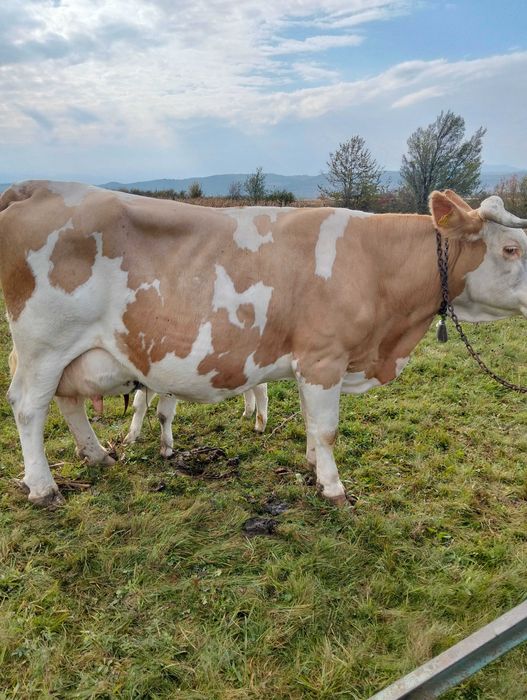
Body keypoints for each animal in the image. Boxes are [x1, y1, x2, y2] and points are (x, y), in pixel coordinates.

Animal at [1, 181, 526, 508]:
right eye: (510, 248)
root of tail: (38, 186)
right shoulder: (324, 357)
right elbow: (328, 429)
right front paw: (334, 488)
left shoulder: (309, 362)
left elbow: (312, 424)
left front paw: (313, 466)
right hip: (44, 344)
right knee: (29, 408)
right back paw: (44, 488)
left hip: (76, 353)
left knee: (68, 403)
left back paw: (97, 455)